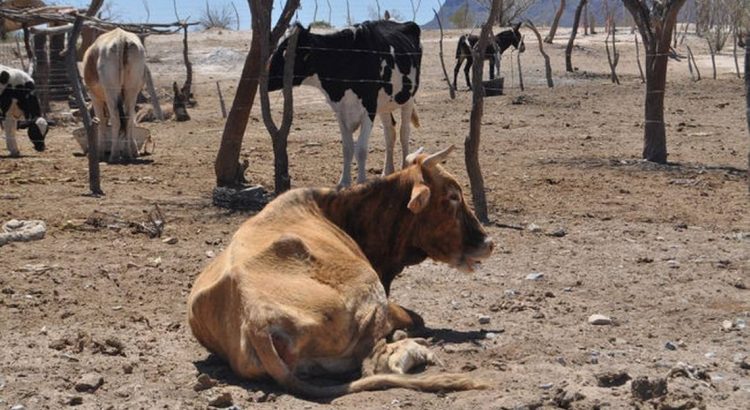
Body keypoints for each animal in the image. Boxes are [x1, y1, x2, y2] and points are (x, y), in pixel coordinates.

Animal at [83, 28, 147, 163]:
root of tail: (121, 38)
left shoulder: (95, 97)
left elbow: (102, 121)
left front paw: (100, 153)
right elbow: (131, 121)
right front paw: (134, 151)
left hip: (111, 93)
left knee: (116, 119)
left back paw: (114, 155)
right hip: (131, 91)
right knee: (127, 119)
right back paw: (127, 153)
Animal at [187, 145, 494, 398]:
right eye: (453, 196)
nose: (488, 242)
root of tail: (257, 320)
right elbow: (415, 317)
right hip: (369, 289)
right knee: (376, 363)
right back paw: (414, 347)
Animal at [270, 19, 424, 186]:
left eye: (286, 53)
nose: (265, 78)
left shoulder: (369, 108)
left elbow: (361, 149)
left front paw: (361, 182)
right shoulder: (340, 111)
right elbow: (347, 148)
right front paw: (343, 182)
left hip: (408, 98)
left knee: (404, 132)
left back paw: (404, 168)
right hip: (384, 104)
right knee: (390, 133)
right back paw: (387, 172)